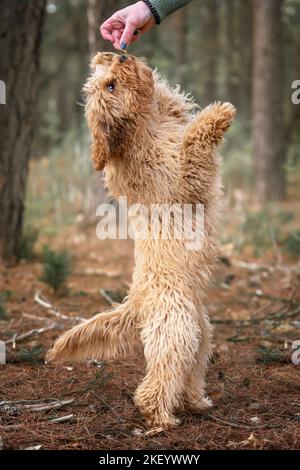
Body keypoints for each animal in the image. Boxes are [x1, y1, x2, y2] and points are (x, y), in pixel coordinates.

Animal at [47, 52, 236, 434]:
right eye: (111, 86)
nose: (121, 54)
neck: (144, 131)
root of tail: (135, 300)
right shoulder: (183, 178)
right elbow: (194, 142)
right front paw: (219, 114)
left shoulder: (170, 117)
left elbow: (172, 102)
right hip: (175, 328)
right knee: (155, 384)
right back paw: (162, 419)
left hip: (200, 335)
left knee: (187, 374)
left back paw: (196, 403)